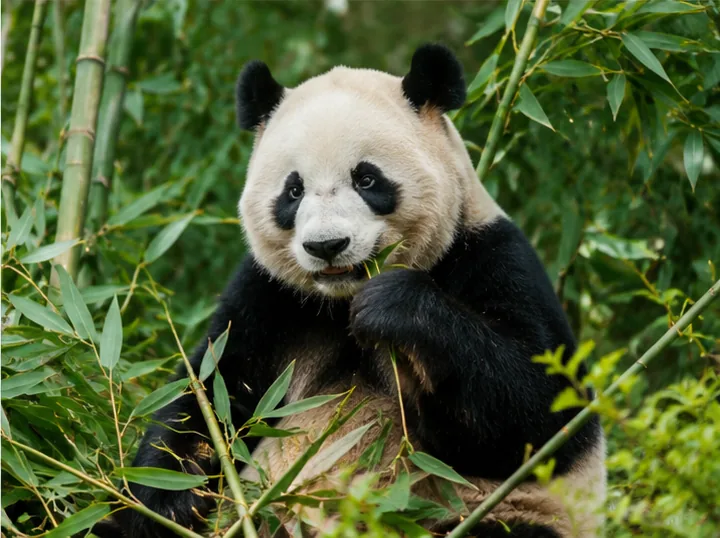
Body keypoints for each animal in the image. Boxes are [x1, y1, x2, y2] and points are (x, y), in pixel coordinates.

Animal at [98, 44, 606, 538]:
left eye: (367, 179)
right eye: (293, 190)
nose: (326, 246)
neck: (339, 302)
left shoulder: (492, 257)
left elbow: (540, 414)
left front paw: (394, 306)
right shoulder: (270, 295)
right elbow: (213, 391)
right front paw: (167, 500)